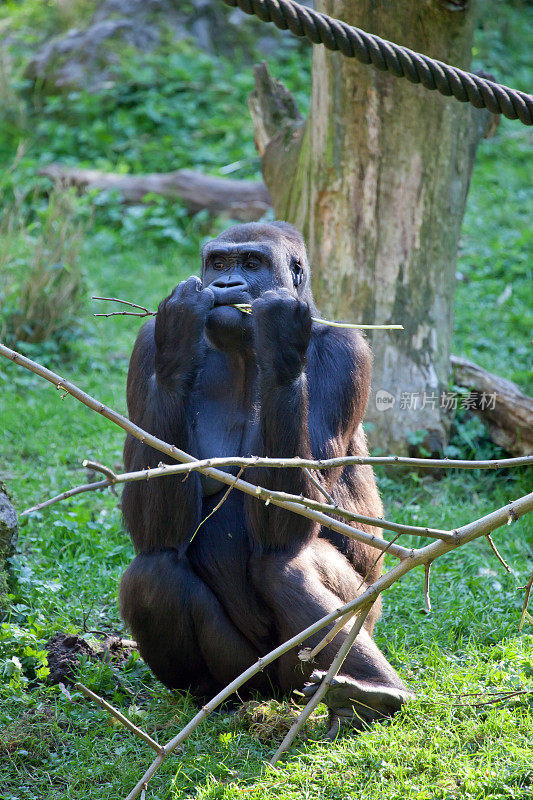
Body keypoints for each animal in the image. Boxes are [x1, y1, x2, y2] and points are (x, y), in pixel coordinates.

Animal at [119, 222, 412, 736]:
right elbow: (152, 529)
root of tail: (268, 694)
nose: (226, 284)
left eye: (252, 265)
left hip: (330, 645)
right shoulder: (144, 344)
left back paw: (370, 693)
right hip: (241, 676)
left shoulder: (346, 353)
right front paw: (178, 339)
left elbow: (301, 515)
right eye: (218, 263)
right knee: (153, 569)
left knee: (285, 562)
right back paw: (208, 696)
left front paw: (280, 339)